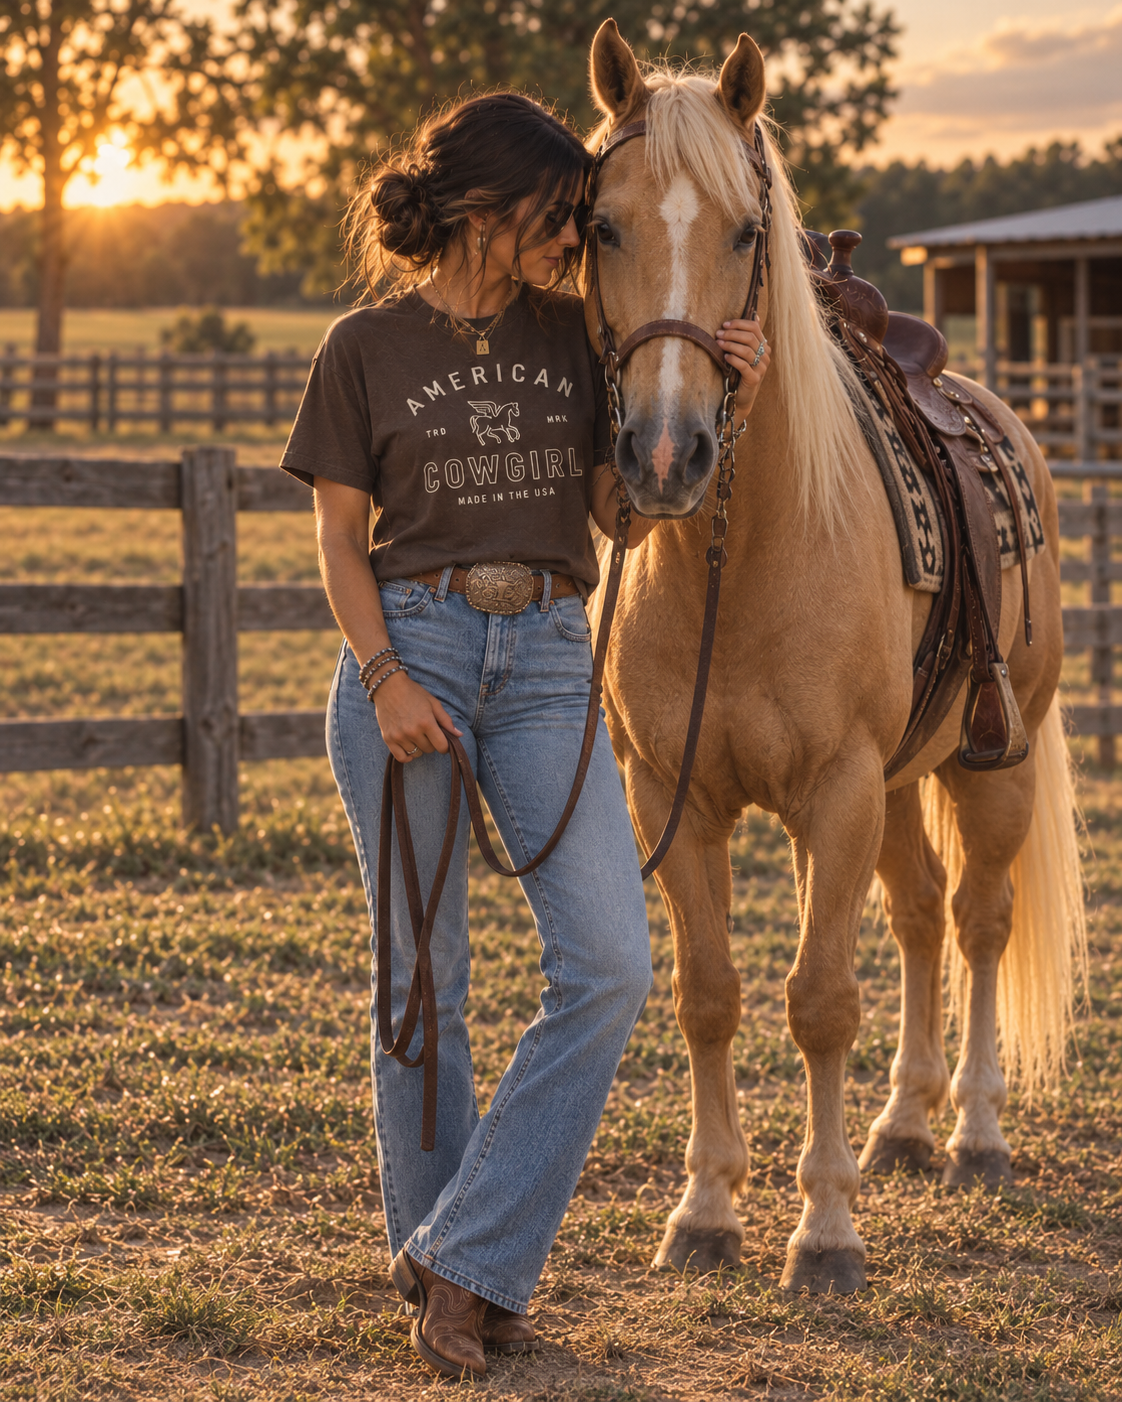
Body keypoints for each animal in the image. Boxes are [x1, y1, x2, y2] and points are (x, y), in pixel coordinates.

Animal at [583, 21, 1086, 1294]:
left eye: (744, 232)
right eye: (602, 224)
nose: (666, 453)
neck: (746, 552)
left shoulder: (839, 788)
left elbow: (819, 1002)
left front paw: (824, 1232)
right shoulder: (674, 795)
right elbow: (710, 996)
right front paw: (707, 1209)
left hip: (988, 768)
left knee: (978, 920)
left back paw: (974, 1131)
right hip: (903, 783)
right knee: (917, 915)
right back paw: (902, 1125)